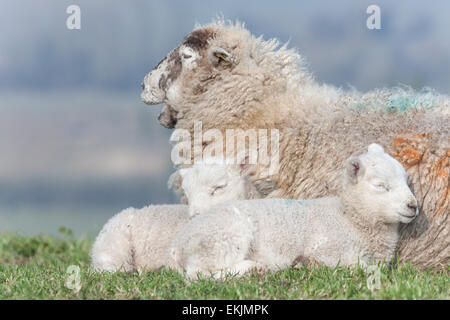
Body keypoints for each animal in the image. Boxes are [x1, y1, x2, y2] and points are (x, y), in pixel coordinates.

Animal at [165, 144, 418, 278]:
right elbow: (361, 267)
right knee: (198, 274)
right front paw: (306, 264)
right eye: (380, 185)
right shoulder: (330, 250)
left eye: (407, 180)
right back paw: (253, 268)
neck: (349, 217)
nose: (413, 206)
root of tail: (176, 245)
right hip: (224, 237)